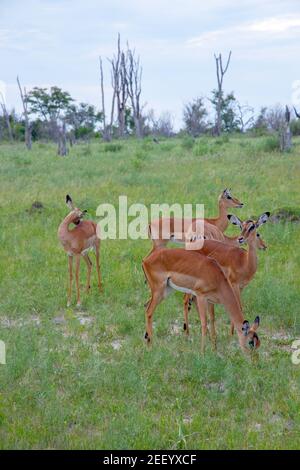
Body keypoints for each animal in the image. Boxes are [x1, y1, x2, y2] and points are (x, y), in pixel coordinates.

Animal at [183, 213, 270, 346]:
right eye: (242, 227)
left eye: (253, 227)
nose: (241, 239)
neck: (244, 261)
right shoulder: (234, 285)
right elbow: (239, 306)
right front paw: (232, 334)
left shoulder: (241, 287)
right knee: (186, 300)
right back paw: (187, 334)